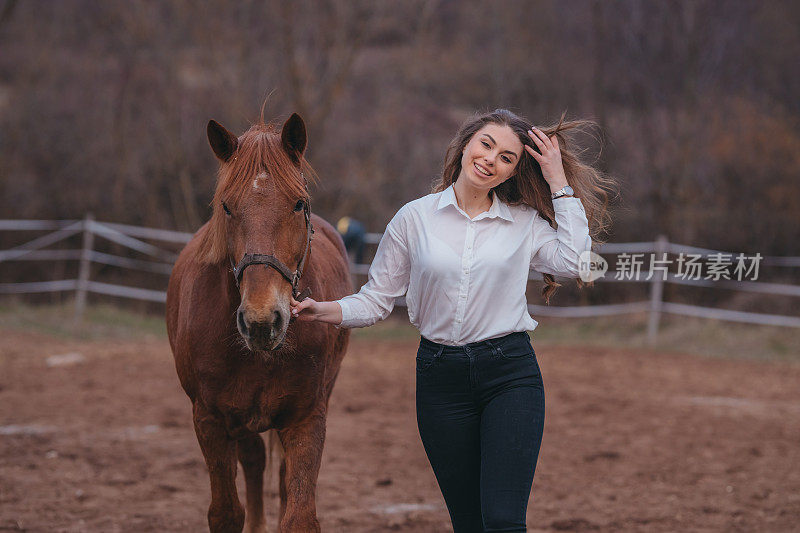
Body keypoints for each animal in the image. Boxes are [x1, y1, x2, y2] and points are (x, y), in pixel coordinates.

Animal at [166, 110, 350, 528]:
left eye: (299, 204)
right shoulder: (211, 420)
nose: (262, 321)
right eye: (227, 207)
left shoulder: (306, 417)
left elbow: (299, 514)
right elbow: (226, 512)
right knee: (253, 462)